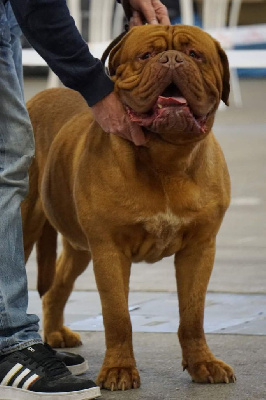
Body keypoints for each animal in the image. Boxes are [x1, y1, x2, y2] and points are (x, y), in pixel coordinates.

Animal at [22, 25, 235, 390]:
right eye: (146, 55)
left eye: (195, 55)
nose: (172, 59)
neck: (167, 159)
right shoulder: (110, 249)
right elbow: (118, 316)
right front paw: (119, 370)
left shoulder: (199, 248)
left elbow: (193, 314)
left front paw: (202, 363)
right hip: (26, 225)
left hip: (80, 247)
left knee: (56, 288)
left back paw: (56, 334)